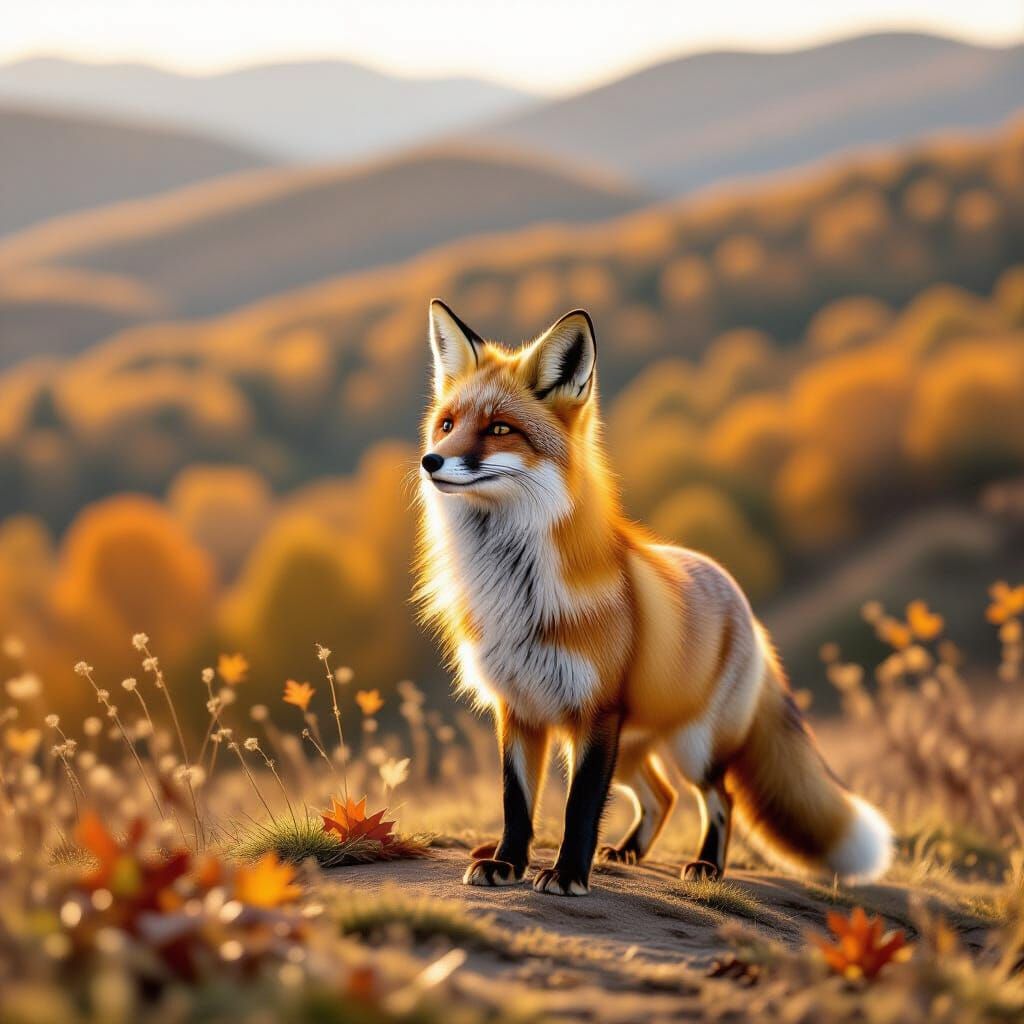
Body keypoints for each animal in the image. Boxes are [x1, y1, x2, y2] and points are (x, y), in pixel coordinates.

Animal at [415, 298, 892, 897]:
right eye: (447, 425)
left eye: (500, 428)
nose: (431, 461)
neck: (517, 590)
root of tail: (743, 602)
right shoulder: (519, 709)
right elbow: (516, 803)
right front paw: (507, 863)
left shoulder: (596, 712)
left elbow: (579, 807)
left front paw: (567, 874)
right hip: (632, 748)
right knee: (661, 797)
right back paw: (627, 853)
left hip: (691, 746)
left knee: (719, 798)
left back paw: (706, 866)